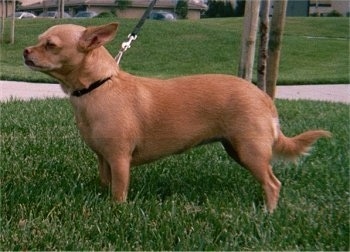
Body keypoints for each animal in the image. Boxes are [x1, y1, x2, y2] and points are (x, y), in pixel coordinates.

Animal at [24, 22, 330, 212]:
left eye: (50, 45)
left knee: (273, 183)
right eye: (38, 41)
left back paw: (268, 212)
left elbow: (119, 190)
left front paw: (116, 212)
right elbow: (105, 183)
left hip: (250, 151)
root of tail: (264, 97)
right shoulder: (104, 159)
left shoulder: (120, 160)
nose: (25, 51)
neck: (99, 86)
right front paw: (101, 200)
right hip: (236, 149)